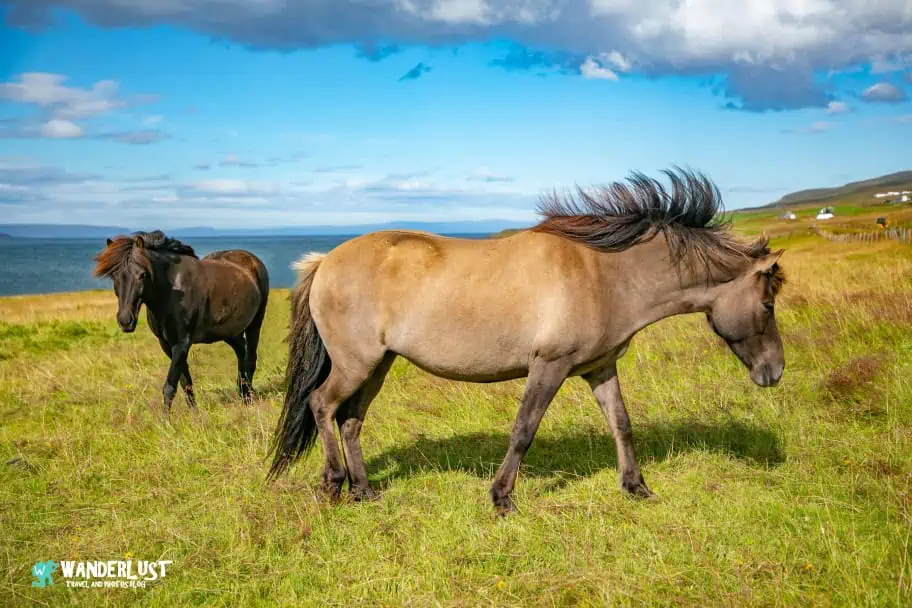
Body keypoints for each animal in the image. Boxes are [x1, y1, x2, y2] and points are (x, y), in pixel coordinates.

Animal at [93, 231, 270, 411]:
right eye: (114, 275)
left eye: (142, 275)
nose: (125, 320)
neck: (171, 292)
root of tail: (252, 260)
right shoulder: (166, 344)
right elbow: (185, 382)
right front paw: (194, 413)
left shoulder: (182, 343)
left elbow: (170, 386)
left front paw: (166, 418)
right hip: (229, 332)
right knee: (241, 352)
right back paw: (243, 394)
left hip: (255, 323)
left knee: (250, 359)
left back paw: (248, 398)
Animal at [267, 168, 786, 515]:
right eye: (767, 304)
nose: (775, 372)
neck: (605, 274)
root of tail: (324, 261)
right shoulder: (549, 366)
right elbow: (523, 430)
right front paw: (502, 499)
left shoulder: (600, 368)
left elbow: (621, 424)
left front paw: (636, 487)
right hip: (356, 363)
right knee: (322, 405)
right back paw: (334, 484)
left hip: (379, 364)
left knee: (351, 419)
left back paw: (365, 491)